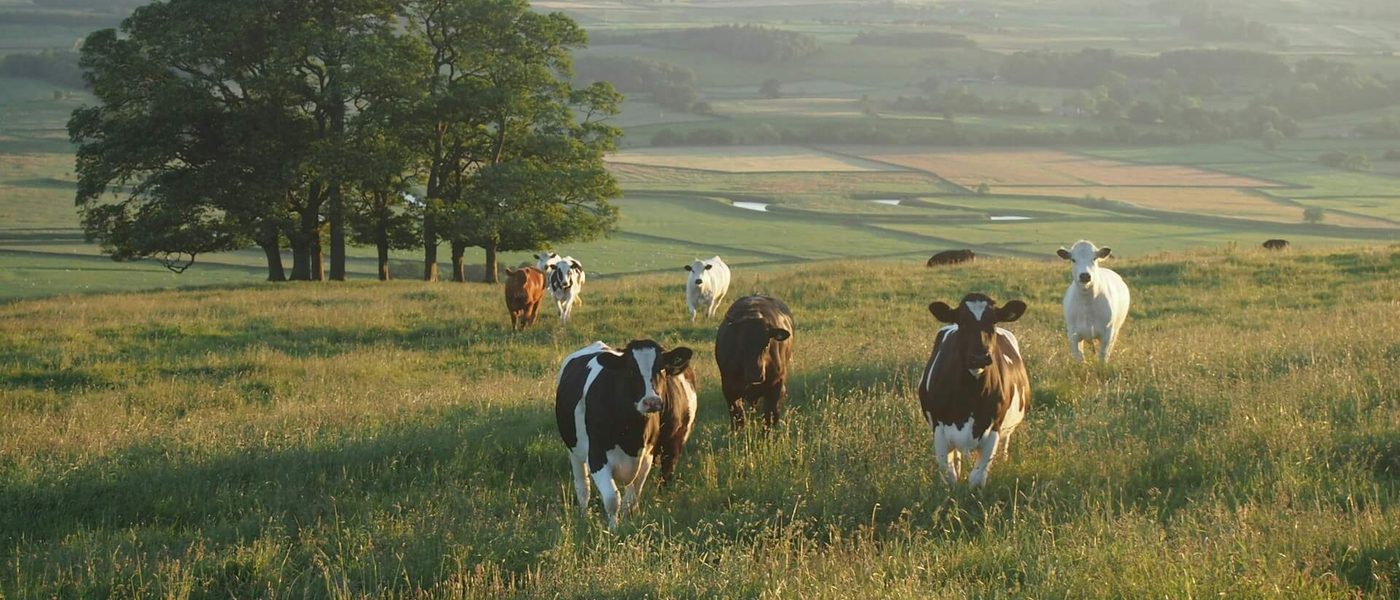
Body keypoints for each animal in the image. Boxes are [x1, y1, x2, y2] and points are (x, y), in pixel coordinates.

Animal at [555, 340, 697, 530]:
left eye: (661, 368)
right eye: (631, 370)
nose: (652, 402)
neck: (631, 434)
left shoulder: (647, 457)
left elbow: (631, 498)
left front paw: (629, 523)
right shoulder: (597, 457)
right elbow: (612, 499)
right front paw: (613, 529)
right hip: (574, 451)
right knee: (583, 487)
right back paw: (584, 517)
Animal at [715, 295, 794, 430]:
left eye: (766, 343)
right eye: (741, 344)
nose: (755, 375)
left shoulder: (776, 386)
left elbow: (769, 418)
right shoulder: (729, 389)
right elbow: (738, 419)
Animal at [918, 293, 1030, 488]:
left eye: (993, 321)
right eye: (962, 321)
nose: (979, 357)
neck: (969, 396)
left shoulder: (994, 429)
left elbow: (977, 478)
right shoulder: (939, 429)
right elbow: (949, 476)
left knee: (1005, 444)